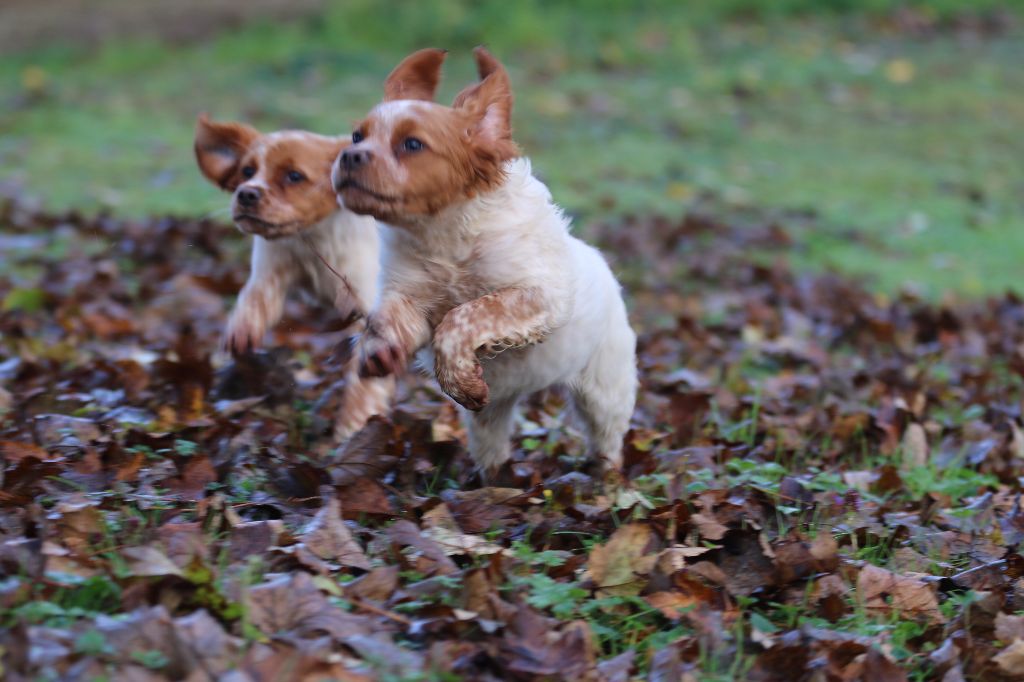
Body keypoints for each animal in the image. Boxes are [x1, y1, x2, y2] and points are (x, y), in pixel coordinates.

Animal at [194, 114, 391, 438]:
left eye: (294, 176)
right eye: (247, 171)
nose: (246, 193)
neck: (313, 236)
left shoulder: (366, 302)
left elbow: (364, 378)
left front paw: (354, 426)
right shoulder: (270, 271)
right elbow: (253, 299)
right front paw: (240, 333)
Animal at [331, 50, 634, 473]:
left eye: (412, 144)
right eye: (358, 136)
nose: (349, 156)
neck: (442, 231)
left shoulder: (538, 294)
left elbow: (463, 316)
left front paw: (460, 379)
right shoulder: (408, 296)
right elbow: (389, 319)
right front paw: (379, 351)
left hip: (604, 392)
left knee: (607, 439)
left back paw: (605, 476)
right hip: (489, 417)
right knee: (493, 448)